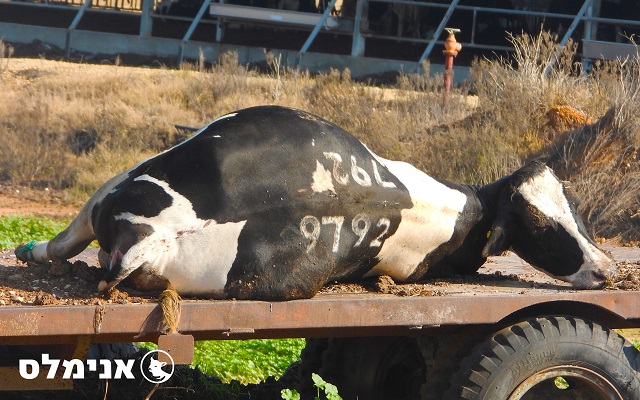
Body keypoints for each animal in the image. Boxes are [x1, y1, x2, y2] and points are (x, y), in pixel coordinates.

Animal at [16, 106, 616, 300]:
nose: (607, 269)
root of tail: (154, 235)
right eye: (543, 227)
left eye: (575, 209)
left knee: (74, 230)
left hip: (133, 179)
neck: (464, 208)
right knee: (72, 229)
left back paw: (33, 250)